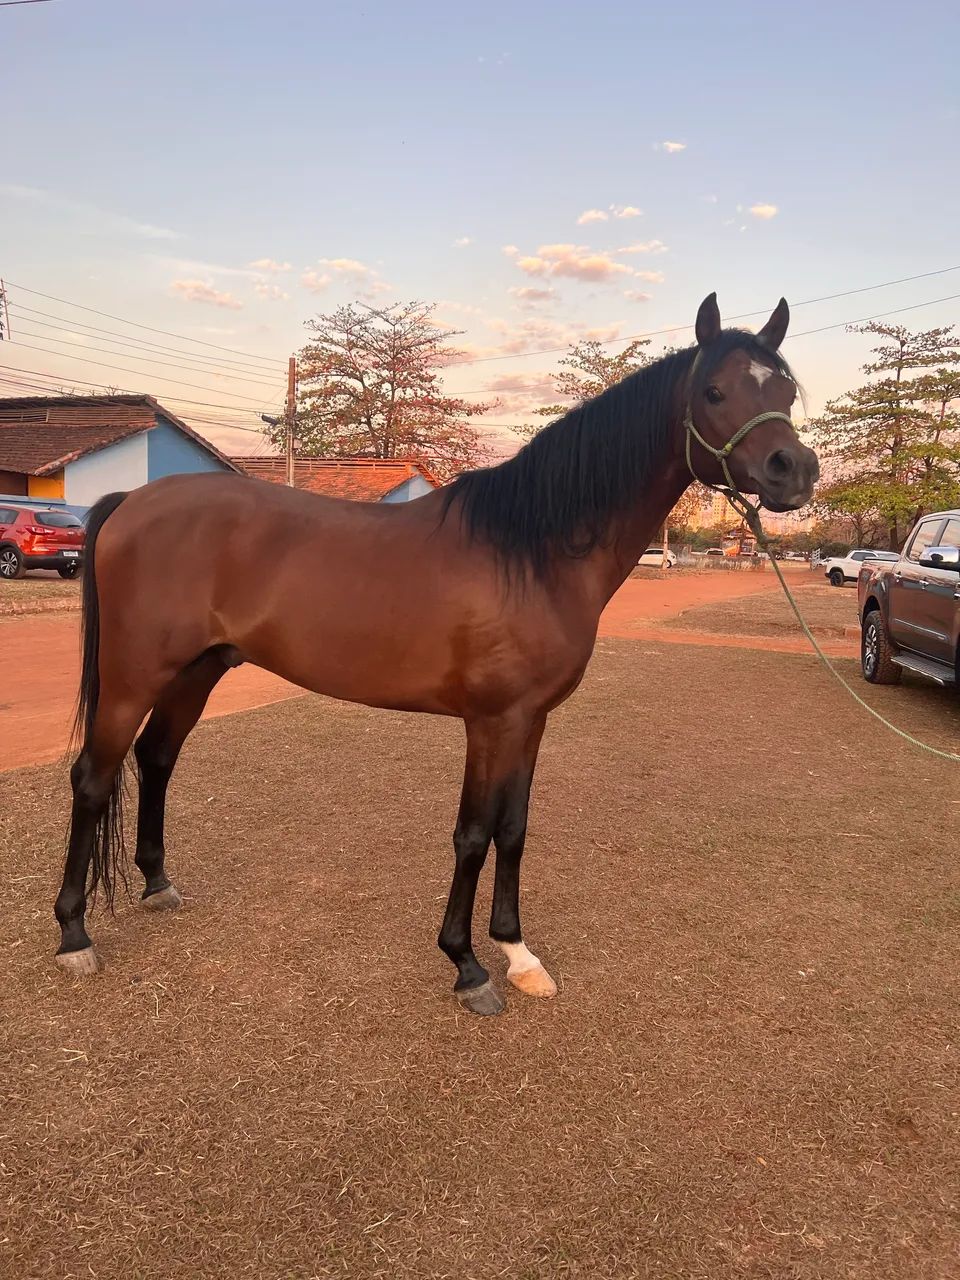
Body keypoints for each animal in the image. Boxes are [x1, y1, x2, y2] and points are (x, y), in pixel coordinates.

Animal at [53, 293, 818, 1015]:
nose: (795, 469)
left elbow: (514, 828)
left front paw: (519, 954)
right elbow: (474, 834)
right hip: (132, 677)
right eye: (714, 391)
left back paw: (158, 884)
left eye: (784, 389)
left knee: (156, 759)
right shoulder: (491, 721)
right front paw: (468, 966)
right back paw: (73, 933)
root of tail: (130, 502)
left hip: (199, 669)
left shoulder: (530, 720)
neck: (533, 551)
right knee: (93, 778)